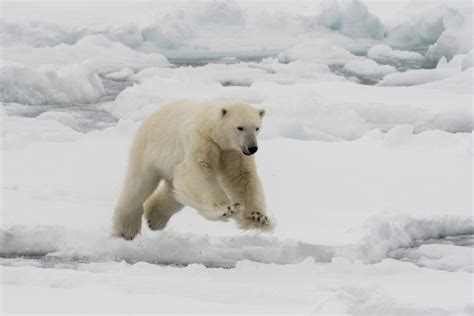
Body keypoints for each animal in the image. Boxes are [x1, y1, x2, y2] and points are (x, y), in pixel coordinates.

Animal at [112, 100, 272, 241]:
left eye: (257, 128)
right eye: (240, 127)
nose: (252, 148)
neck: (214, 130)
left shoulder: (233, 151)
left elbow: (242, 177)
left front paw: (258, 217)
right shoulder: (201, 139)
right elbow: (198, 169)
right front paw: (226, 209)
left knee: (174, 190)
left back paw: (154, 219)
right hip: (149, 149)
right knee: (139, 185)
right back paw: (127, 230)